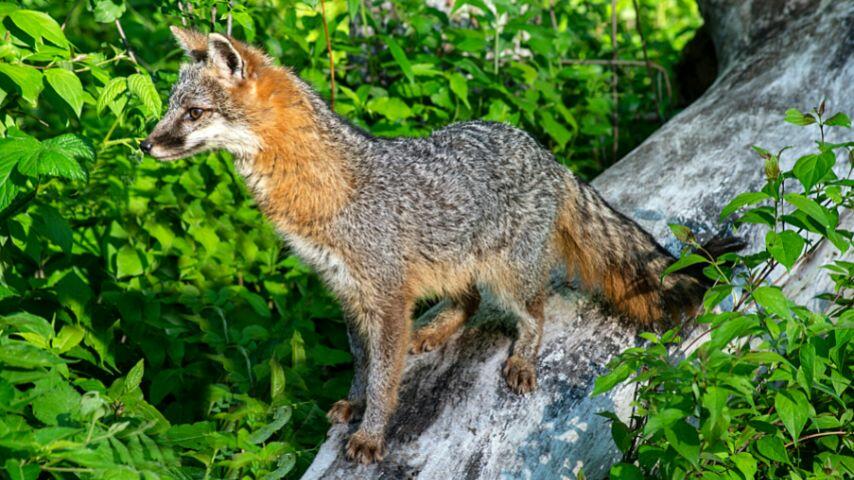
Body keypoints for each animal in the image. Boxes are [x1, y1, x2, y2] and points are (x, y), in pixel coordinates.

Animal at [144, 28, 720, 464]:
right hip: (455, 264)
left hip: (507, 279)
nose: (145, 144)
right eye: (171, 109)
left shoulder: (386, 297)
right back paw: (433, 332)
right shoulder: (349, 293)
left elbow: (384, 379)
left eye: (194, 113)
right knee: (467, 301)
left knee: (535, 313)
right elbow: (364, 365)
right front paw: (355, 406)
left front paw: (371, 435)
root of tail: (547, 155)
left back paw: (522, 359)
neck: (322, 187)